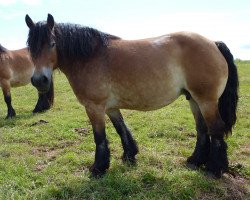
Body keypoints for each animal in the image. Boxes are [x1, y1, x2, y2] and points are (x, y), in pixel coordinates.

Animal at [25, 14, 238, 178]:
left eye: (52, 44)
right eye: (30, 48)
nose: (39, 80)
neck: (90, 57)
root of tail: (213, 43)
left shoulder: (94, 107)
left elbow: (99, 137)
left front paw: (98, 168)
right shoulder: (111, 107)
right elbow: (121, 129)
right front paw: (129, 156)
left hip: (206, 100)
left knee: (215, 129)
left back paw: (214, 169)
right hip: (194, 99)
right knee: (202, 130)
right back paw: (195, 160)